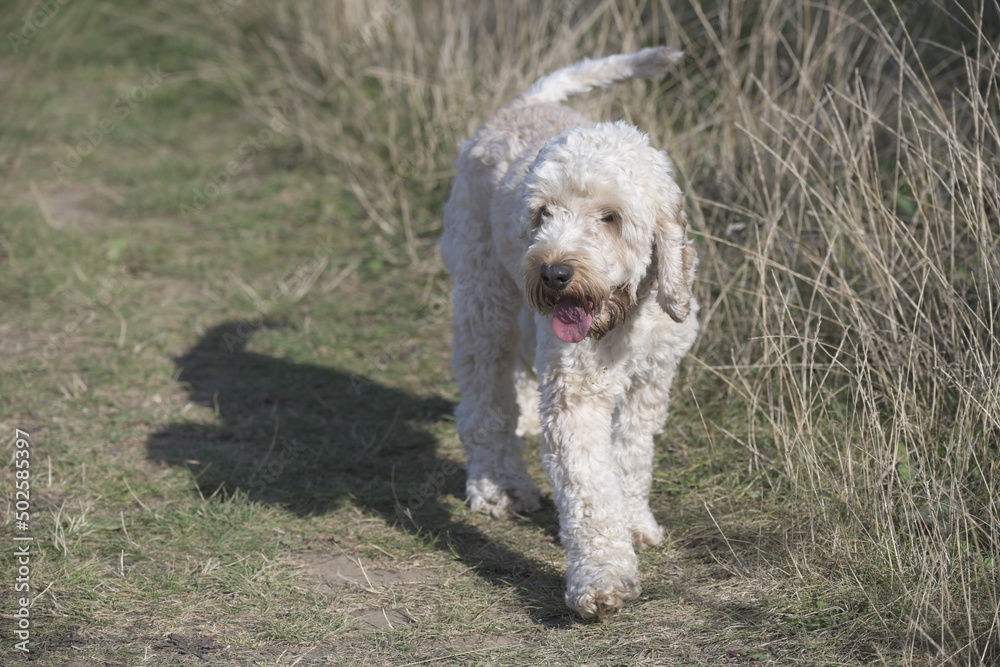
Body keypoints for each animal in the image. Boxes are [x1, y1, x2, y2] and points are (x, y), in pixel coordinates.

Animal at [442, 48, 700, 620]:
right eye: (543, 213)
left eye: (610, 217)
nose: (553, 273)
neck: (627, 316)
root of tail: (524, 103)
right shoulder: (575, 395)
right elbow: (589, 488)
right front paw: (602, 578)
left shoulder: (651, 383)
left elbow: (631, 459)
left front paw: (635, 523)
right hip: (483, 295)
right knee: (482, 402)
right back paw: (498, 485)